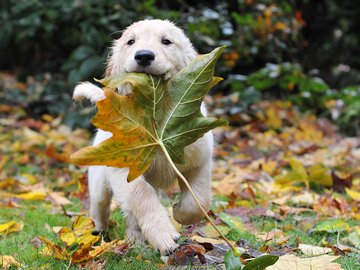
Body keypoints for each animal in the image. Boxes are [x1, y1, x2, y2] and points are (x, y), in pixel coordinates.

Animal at [73, 20, 214, 254]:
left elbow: (198, 201)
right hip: (99, 182)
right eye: (131, 42)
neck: (156, 117)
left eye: (166, 41)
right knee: (100, 208)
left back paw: (135, 242)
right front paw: (164, 235)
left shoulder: (199, 160)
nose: (144, 56)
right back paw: (99, 235)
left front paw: (179, 213)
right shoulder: (125, 170)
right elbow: (142, 197)